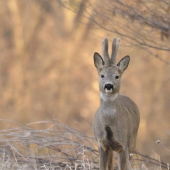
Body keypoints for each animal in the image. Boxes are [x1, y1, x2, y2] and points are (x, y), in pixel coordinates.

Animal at [93, 37, 139, 170]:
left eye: (117, 76)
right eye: (102, 75)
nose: (108, 85)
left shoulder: (123, 144)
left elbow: (123, 166)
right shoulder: (102, 143)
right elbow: (103, 167)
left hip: (133, 141)